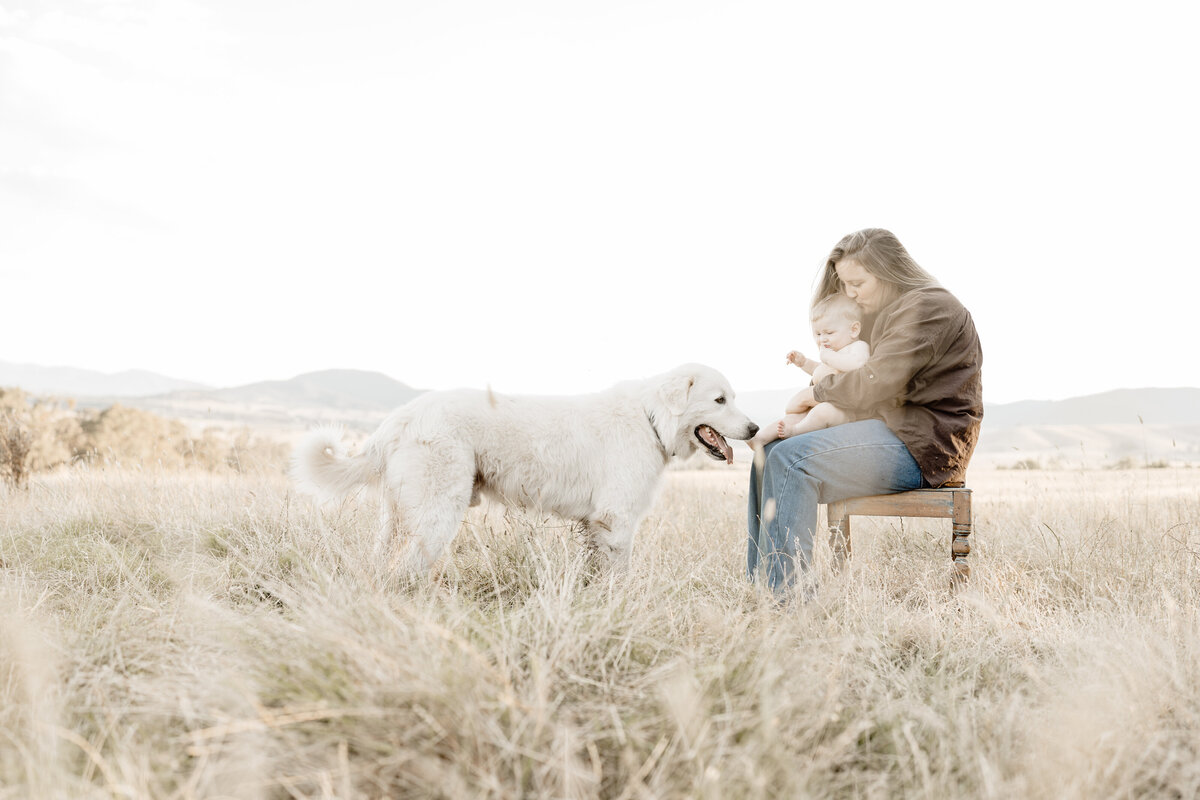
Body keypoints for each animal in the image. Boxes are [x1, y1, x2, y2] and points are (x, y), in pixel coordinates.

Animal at [291, 367, 753, 578]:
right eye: (719, 399)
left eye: (732, 397)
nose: (754, 429)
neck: (650, 417)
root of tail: (400, 417)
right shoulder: (616, 522)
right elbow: (619, 577)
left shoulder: (597, 527)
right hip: (436, 516)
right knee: (407, 571)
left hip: (396, 517)